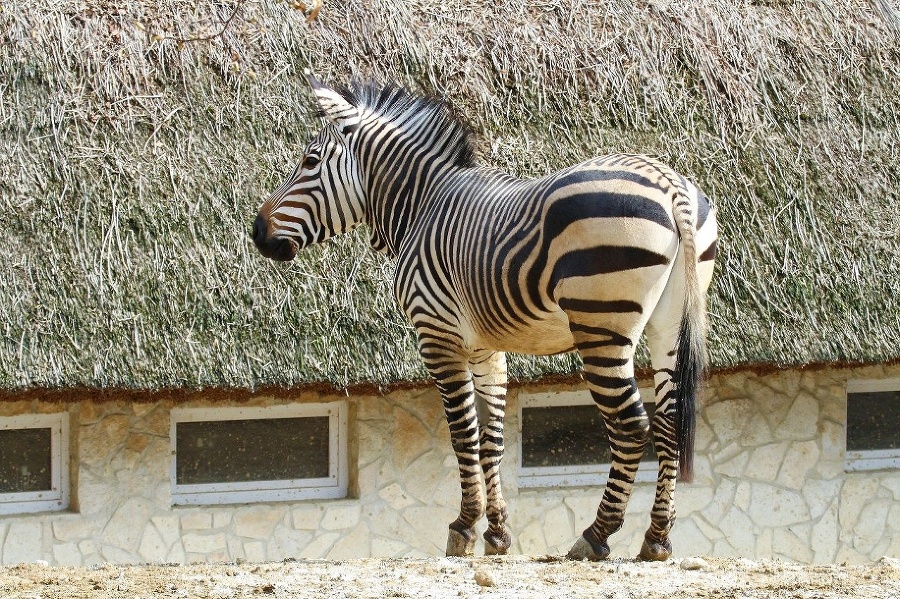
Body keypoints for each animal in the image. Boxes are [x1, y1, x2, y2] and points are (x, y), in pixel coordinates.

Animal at [253, 76, 716, 564]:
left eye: (309, 161)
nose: (257, 231)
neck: (421, 206)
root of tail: (669, 184)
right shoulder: (485, 346)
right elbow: (491, 440)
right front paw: (496, 534)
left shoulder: (436, 335)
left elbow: (462, 436)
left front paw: (463, 528)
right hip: (668, 325)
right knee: (668, 422)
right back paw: (657, 538)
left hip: (601, 327)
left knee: (631, 426)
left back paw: (596, 535)